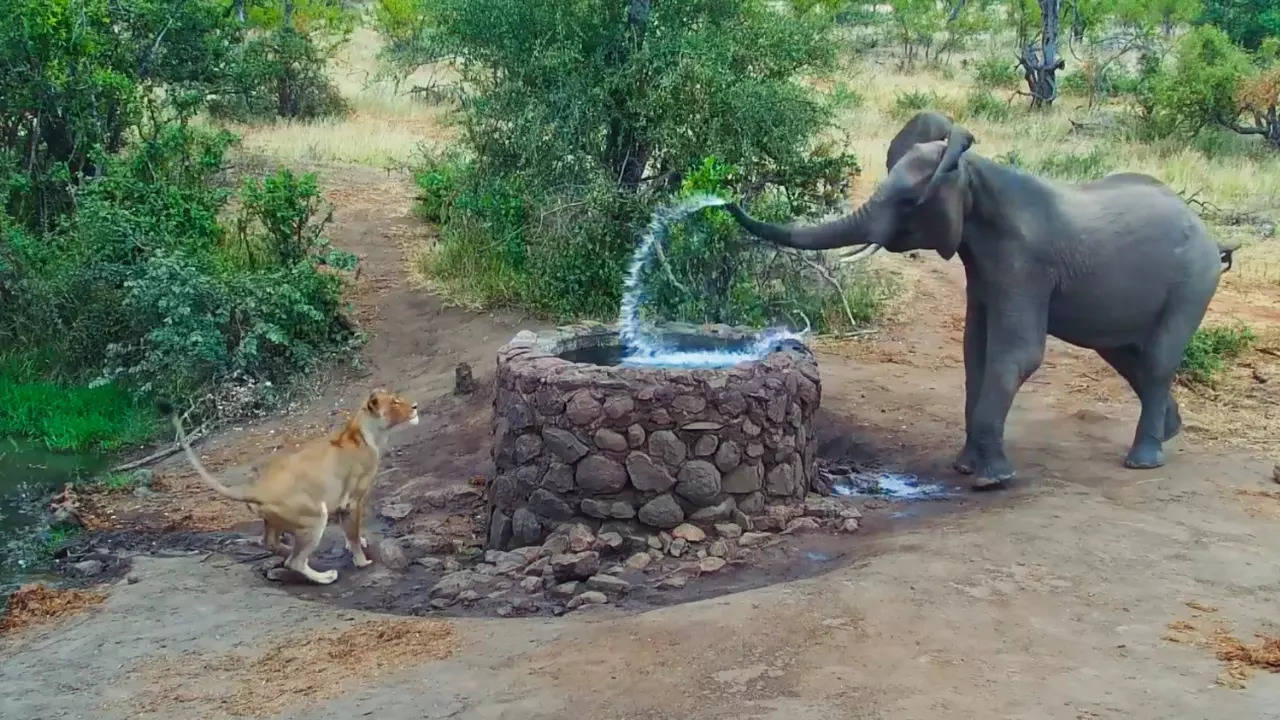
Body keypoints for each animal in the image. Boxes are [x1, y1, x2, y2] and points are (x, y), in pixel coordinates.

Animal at [727, 113, 1233, 486]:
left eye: (909, 202)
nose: (725, 197)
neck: (975, 172)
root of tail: (1213, 238)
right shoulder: (986, 268)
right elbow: (975, 351)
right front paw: (966, 466)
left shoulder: (1025, 263)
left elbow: (1016, 354)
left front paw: (990, 479)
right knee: (1127, 355)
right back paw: (1169, 432)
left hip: (1193, 281)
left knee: (1159, 357)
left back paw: (1144, 459)